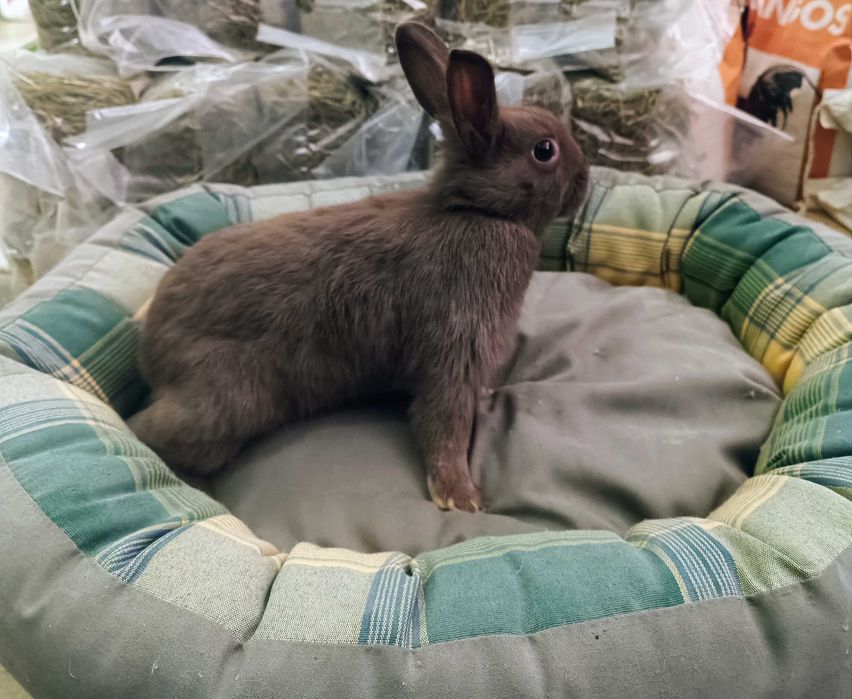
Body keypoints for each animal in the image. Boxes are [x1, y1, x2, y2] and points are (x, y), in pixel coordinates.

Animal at [129, 21, 589, 512]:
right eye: (545, 150)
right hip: (227, 400)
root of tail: (150, 352)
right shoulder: (454, 345)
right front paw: (461, 498)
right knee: (150, 432)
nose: (586, 179)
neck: (477, 211)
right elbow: (444, 420)